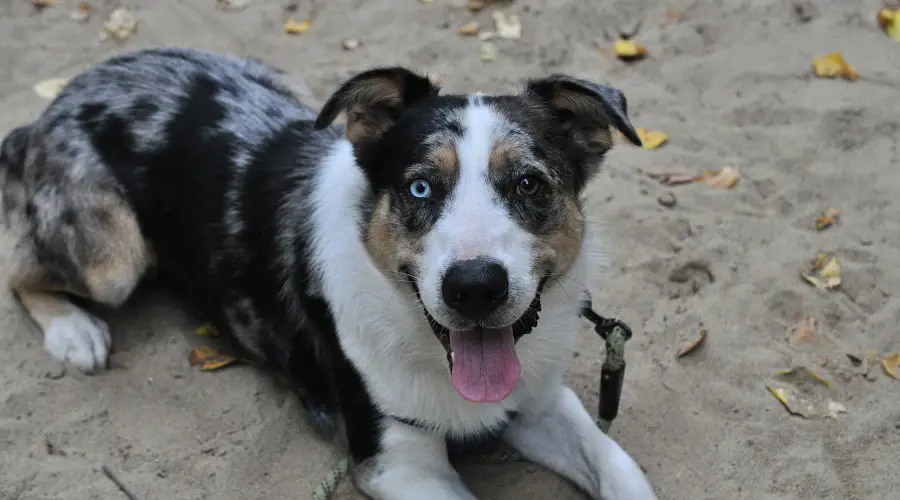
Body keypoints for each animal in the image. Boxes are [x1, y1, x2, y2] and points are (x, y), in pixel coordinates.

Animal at [1, 47, 660, 500]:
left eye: (528, 184)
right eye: (420, 187)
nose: (474, 287)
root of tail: (64, 97)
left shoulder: (543, 403)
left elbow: (619, 467)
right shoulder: (396, 462)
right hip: (112, 257)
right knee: (19, 267)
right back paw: (74, 331)